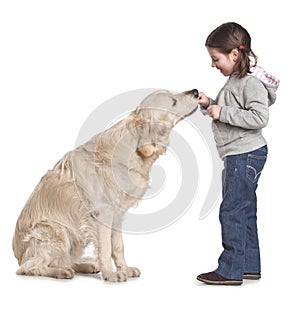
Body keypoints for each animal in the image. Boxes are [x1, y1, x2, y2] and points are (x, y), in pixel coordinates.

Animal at [12, 89, 199, 282]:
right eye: (173, 101)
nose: (195, 91)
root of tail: (18, 256)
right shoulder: (102, 213)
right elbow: (106, 247)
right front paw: (110, 274)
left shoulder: (117, 214)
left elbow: (118, 246)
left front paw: (125, 269)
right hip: (55, 231)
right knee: (30, 267)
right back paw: (61, 272)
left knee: (65, 260)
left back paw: (84, 266)